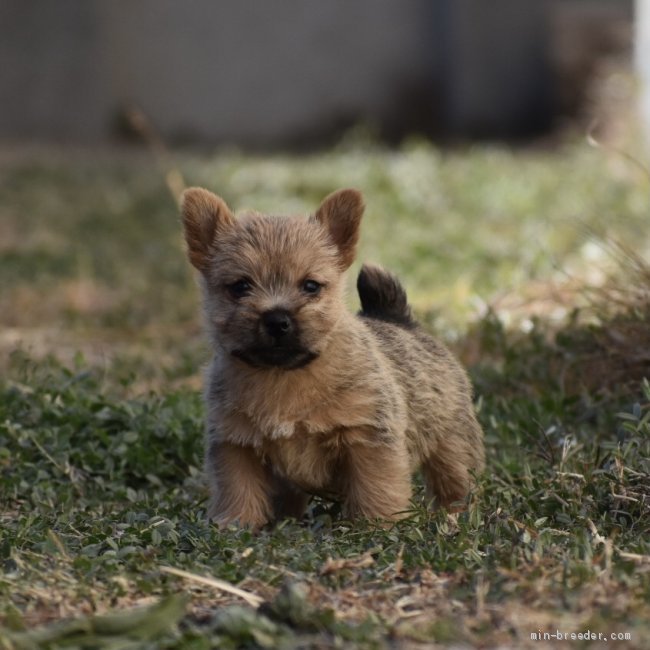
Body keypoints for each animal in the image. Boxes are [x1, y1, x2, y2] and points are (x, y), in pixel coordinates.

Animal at [180, 184, 484, 528]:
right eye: (240, 286)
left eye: (311, 286)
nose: (277, 320)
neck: (283, 376)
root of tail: (401, 321)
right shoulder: (236, 445)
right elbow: (238, 489)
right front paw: (236, 524)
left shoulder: (367, 439)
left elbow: (375, 486)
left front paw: (377, 525)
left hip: (452, 442)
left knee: (454, 478)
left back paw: (455, 515)